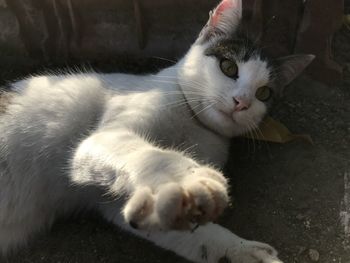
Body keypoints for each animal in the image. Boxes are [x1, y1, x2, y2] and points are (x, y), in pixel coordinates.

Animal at [0, 0, 314, 262]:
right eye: (228, 67)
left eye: (264, 93)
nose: (242, 102)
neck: (194, 124)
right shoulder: (101, 139)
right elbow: (157, 156)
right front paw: (192, 180)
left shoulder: (113, 202)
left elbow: (197, 236)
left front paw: (240, 250)